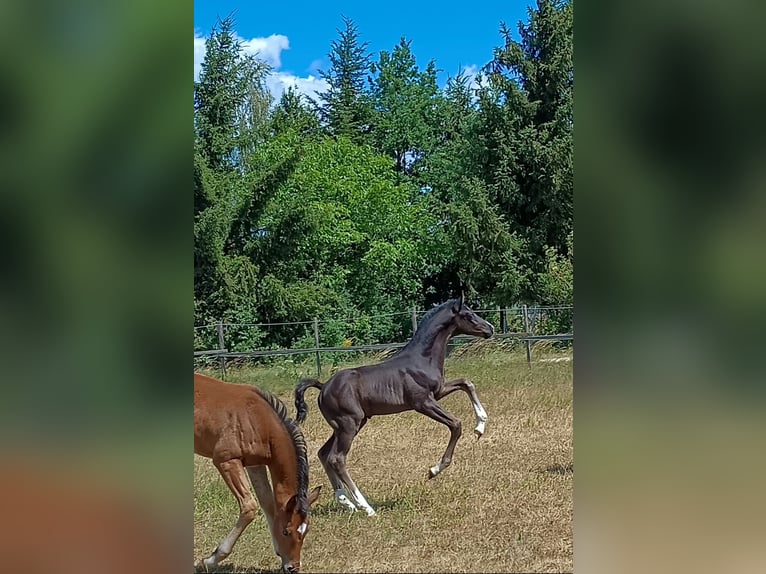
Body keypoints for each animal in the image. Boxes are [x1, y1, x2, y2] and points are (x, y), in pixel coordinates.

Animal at [194, 373, 322, 573]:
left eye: (306, 529)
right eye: (286, 531)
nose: (293, 568)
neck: (257, 420)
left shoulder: (255, 464)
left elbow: (268, 503)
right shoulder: (226, 461)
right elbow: (249, 506)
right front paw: (208, 560)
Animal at [293, 293, 493, 516]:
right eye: (468, 315)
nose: (490, 329)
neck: (421, 359)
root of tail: (323, 387)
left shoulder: (439, 392)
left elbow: (467, 383)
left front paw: (480, 426)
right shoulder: (423, 402)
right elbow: (456, 425)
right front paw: (434, 470)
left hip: (348, 425)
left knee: (323, 453)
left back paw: (346, 501)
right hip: (348, 425)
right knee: (336, 458)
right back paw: (366, 507)